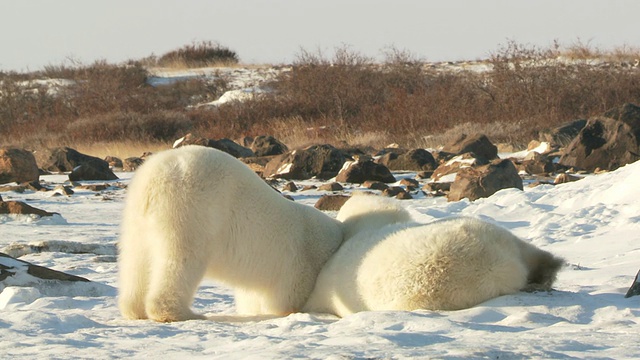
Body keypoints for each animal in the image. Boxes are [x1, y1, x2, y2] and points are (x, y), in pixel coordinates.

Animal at [116, 145, 344, 322]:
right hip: (190, 210)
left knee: (136, 258)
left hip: (136, 217)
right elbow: (284, 301)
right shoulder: (299, 266)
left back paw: (134, 309)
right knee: (182, 258)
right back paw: (182, 313)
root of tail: (154, 179)